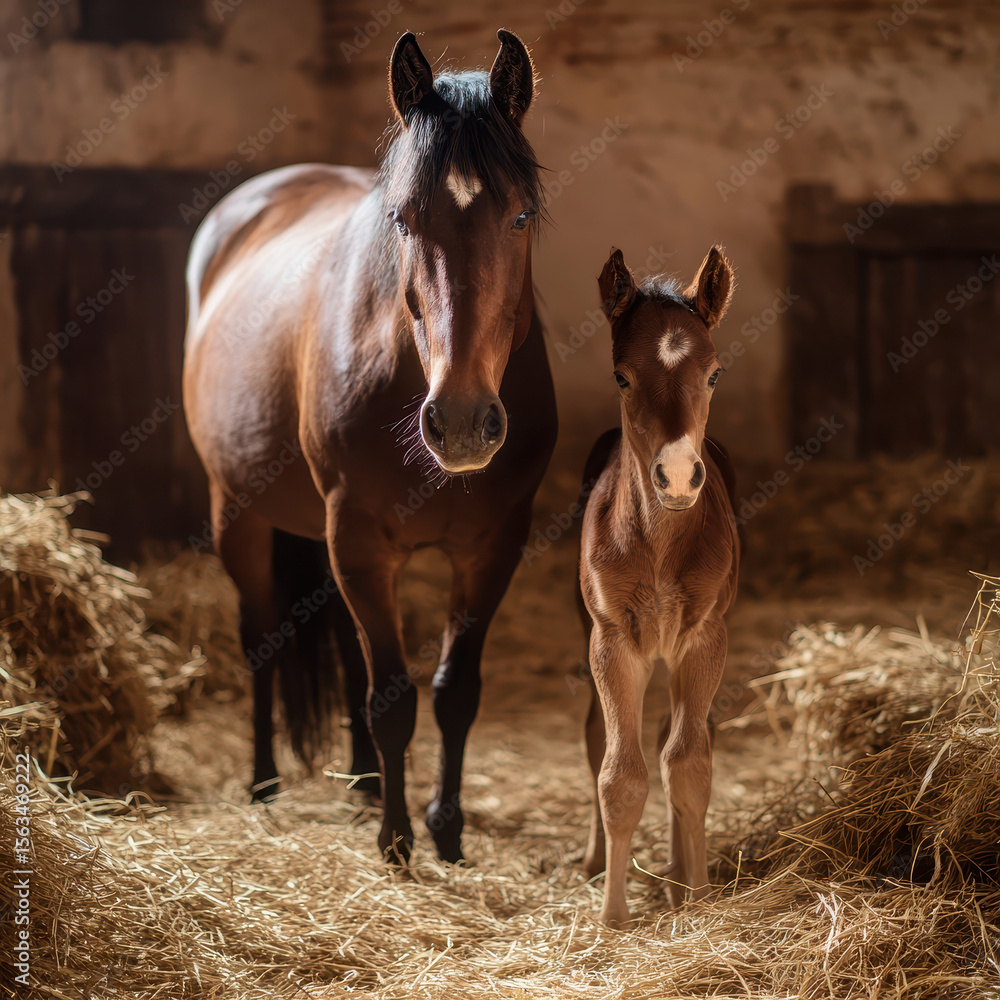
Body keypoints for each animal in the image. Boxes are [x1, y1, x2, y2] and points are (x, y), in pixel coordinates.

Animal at [182, 29, 557, 865]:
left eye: (520, 218)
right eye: (404, 220)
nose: (461, 422)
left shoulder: (492, 545)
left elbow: (453, 693)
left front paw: (446, 830)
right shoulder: (357, 535)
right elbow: (391, 699)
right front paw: (396, 843)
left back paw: (357, 778)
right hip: (237, 513)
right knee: (262, 639)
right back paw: (265, 782)